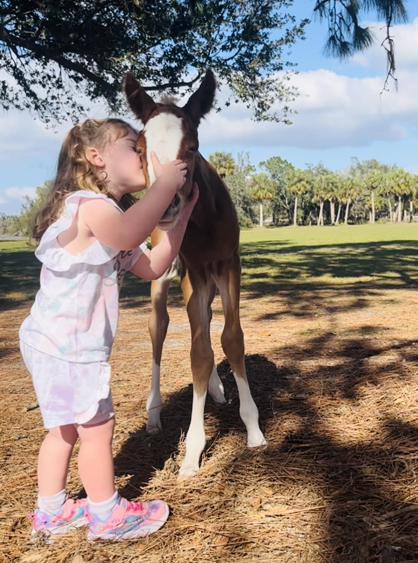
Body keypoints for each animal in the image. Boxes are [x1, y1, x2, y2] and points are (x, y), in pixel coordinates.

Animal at [125, 70, 268, 476]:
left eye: (193, 146)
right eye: (139, 149)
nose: (165, 205)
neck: (203, 222)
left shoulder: (229, 264)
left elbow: (231, 338)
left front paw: (253, 429)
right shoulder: (195, 271)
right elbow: (199, 351)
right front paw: (192, 449)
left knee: (203, 323)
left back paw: (217, 390)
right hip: (163, 272)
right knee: (160, 328)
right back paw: (154, 414)